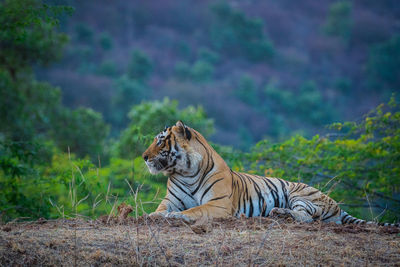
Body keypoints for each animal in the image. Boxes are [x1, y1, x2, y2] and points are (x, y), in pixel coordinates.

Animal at [142, 120, 398, 227]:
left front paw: (177, 217)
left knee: (307, 217)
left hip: (300, 193)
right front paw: (154, 216)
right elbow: (160, 210)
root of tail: (335, 203)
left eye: (160, 141)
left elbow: (195, 209)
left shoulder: (219, 204)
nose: (144, 157)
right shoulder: (170, 200)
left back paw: (280, 213)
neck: (186, 171)